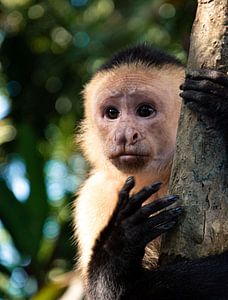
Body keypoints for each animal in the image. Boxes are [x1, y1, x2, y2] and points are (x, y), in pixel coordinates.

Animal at [74, 44, 227, 300]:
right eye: (112, 113)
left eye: (145, 110)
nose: (124, 135)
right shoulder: (94, 196)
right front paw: (121, 238)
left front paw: (221, 104)